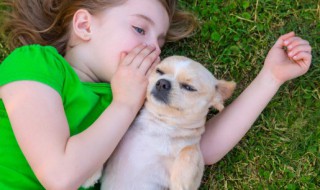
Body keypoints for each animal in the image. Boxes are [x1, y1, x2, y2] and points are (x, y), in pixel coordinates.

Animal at [84, 55, 236, 189]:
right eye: (159, 71)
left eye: (189, 87)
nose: (162, 82)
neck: (160, 124)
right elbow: (104, 147)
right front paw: (90, 174)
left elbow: (189, 149)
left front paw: (180, 180)